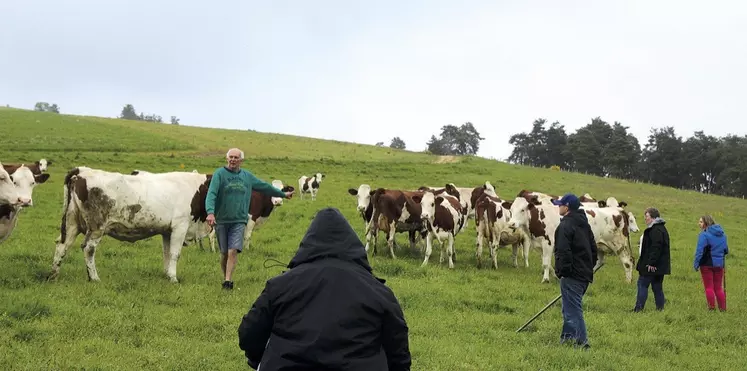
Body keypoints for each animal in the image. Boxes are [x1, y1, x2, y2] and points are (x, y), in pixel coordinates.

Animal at [48, 167, 215, 284]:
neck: (195, 188)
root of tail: (82, 171)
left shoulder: (167, 231)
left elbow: (167, 253)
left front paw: (167, 274)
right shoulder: (180, 226)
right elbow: (175, 254)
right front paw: (173, 278)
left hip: (71, 224)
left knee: (62, 246)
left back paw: (54, 275)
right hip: (96, 227)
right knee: (88, 249)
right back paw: (94, 278)